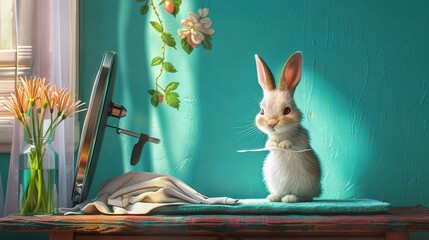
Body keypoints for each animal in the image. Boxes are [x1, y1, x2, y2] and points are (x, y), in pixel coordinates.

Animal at [252, 51, 320, 202]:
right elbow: (268, 144)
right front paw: (274, 145)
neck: (280, 134)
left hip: (305, 184)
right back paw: (274, 197)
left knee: (306, 197)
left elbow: (295, 142)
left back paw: (290, 198)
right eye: (262, 111)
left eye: (287, 110)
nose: (272, 123)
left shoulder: (302, 138)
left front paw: (283, 145)